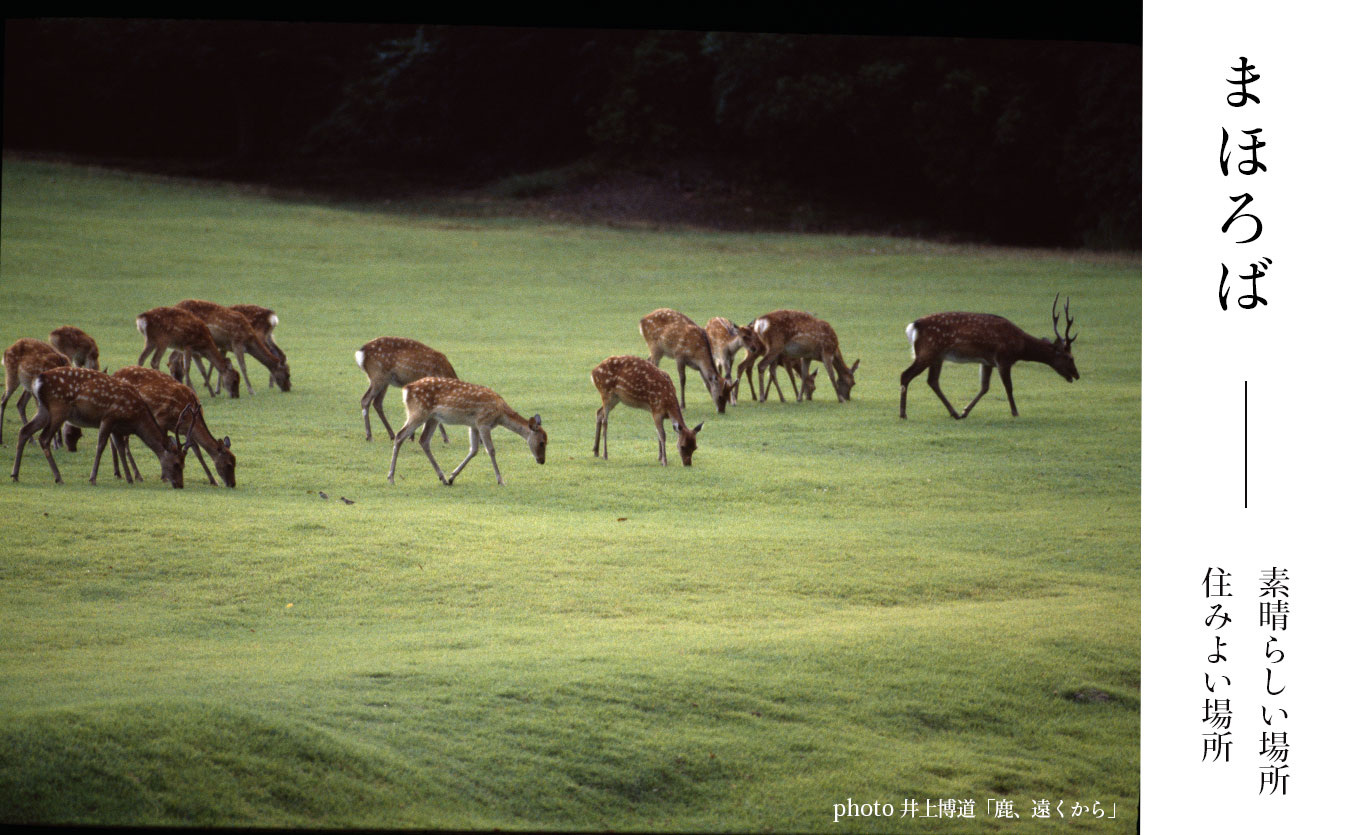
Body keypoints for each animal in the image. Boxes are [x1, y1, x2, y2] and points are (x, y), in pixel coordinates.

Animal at [9, 364, 187, 486]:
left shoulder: (117, 427)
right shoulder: (109, 417)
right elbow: (101, 446)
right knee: (44, 438)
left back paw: (15, 475)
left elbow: (120, 448)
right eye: (177, 464)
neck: (136, 418)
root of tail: (38, 381)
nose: (180, 485)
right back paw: (58, 477)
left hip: (43, 409)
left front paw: (129, 478)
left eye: (184, 465)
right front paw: (93, 478)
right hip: (58, 408)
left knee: (24, 431)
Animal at [383, 375, 545, 483]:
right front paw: (501, 480)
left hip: (432, 417)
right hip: (418, 412)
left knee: (424, 440)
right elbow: (491, 450)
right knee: (400, 435)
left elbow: (474, 450)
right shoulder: (483, 422)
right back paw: (391, 477)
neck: (500, 414)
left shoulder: (473, 425)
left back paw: (443, 478)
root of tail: (406, 389)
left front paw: (452, 477)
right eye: (542, 442)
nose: (542, 460)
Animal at [902, 294, 1080, 421]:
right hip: (928, 351)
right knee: (906, 375)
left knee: (932, 381)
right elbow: (1009, 387)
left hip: (937, 356)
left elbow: (985, 387)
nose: (1077, 375)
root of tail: (913, 326)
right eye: (1070, 357)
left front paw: (965, 411)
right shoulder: (1003, 358)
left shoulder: (987, 362)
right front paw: (1015, 412)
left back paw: (954, 413)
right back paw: (903, 414)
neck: (1020, 347)